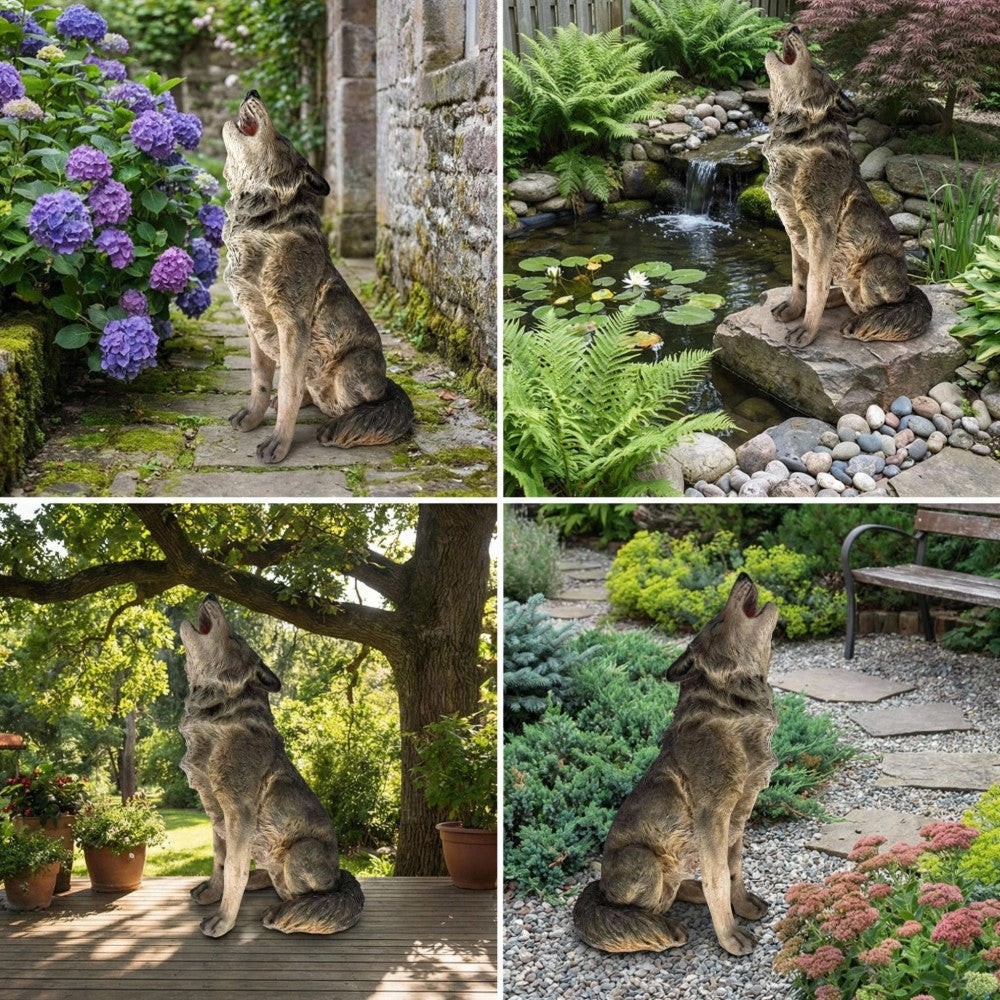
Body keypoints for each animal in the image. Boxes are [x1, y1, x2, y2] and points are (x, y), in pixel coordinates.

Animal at [178, 595, 364, 938]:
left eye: (235, 637)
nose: (211, 595)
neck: (219, 715)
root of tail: (340, 875)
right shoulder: (214, 812)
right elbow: (219, 859)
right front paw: (213, 892)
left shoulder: (238, 811)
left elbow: (234, 868)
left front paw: (223, 921)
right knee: (269, 872)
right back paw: (259, 880)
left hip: (301, 851)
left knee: (303, 893)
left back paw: (285, 909)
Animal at [222, 90, 414, 465]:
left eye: (282, 138)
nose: (253, 91)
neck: (262, 220)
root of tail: (387, 383)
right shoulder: (254, 323)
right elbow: (260, 380)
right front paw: (253, 416)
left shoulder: (291, 323)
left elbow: (288, 386)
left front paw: (279, 443)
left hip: (355, 365)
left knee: (358, 403)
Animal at [573, 573, 779, 956]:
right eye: (718, 621)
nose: (742, 575)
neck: (730, 710)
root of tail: (601, 888)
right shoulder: (712, 816)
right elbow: (718, 878)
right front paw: (729, 936)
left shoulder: (739, 815)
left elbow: (734, 869)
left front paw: (741, 906)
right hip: (643, 859)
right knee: (638, 907)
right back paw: (662, 924)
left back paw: (690, 889)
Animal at [763, 26, 931, 347]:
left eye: (816, 68)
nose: (795, 27)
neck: (799, 139)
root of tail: (909, 290)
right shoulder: (793, 229)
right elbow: (798, 279)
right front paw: (793, 310)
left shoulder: (820, 228)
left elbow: (815, 283)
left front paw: (807, 331)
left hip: (878, 266)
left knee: (877, 306)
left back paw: (860, 319)